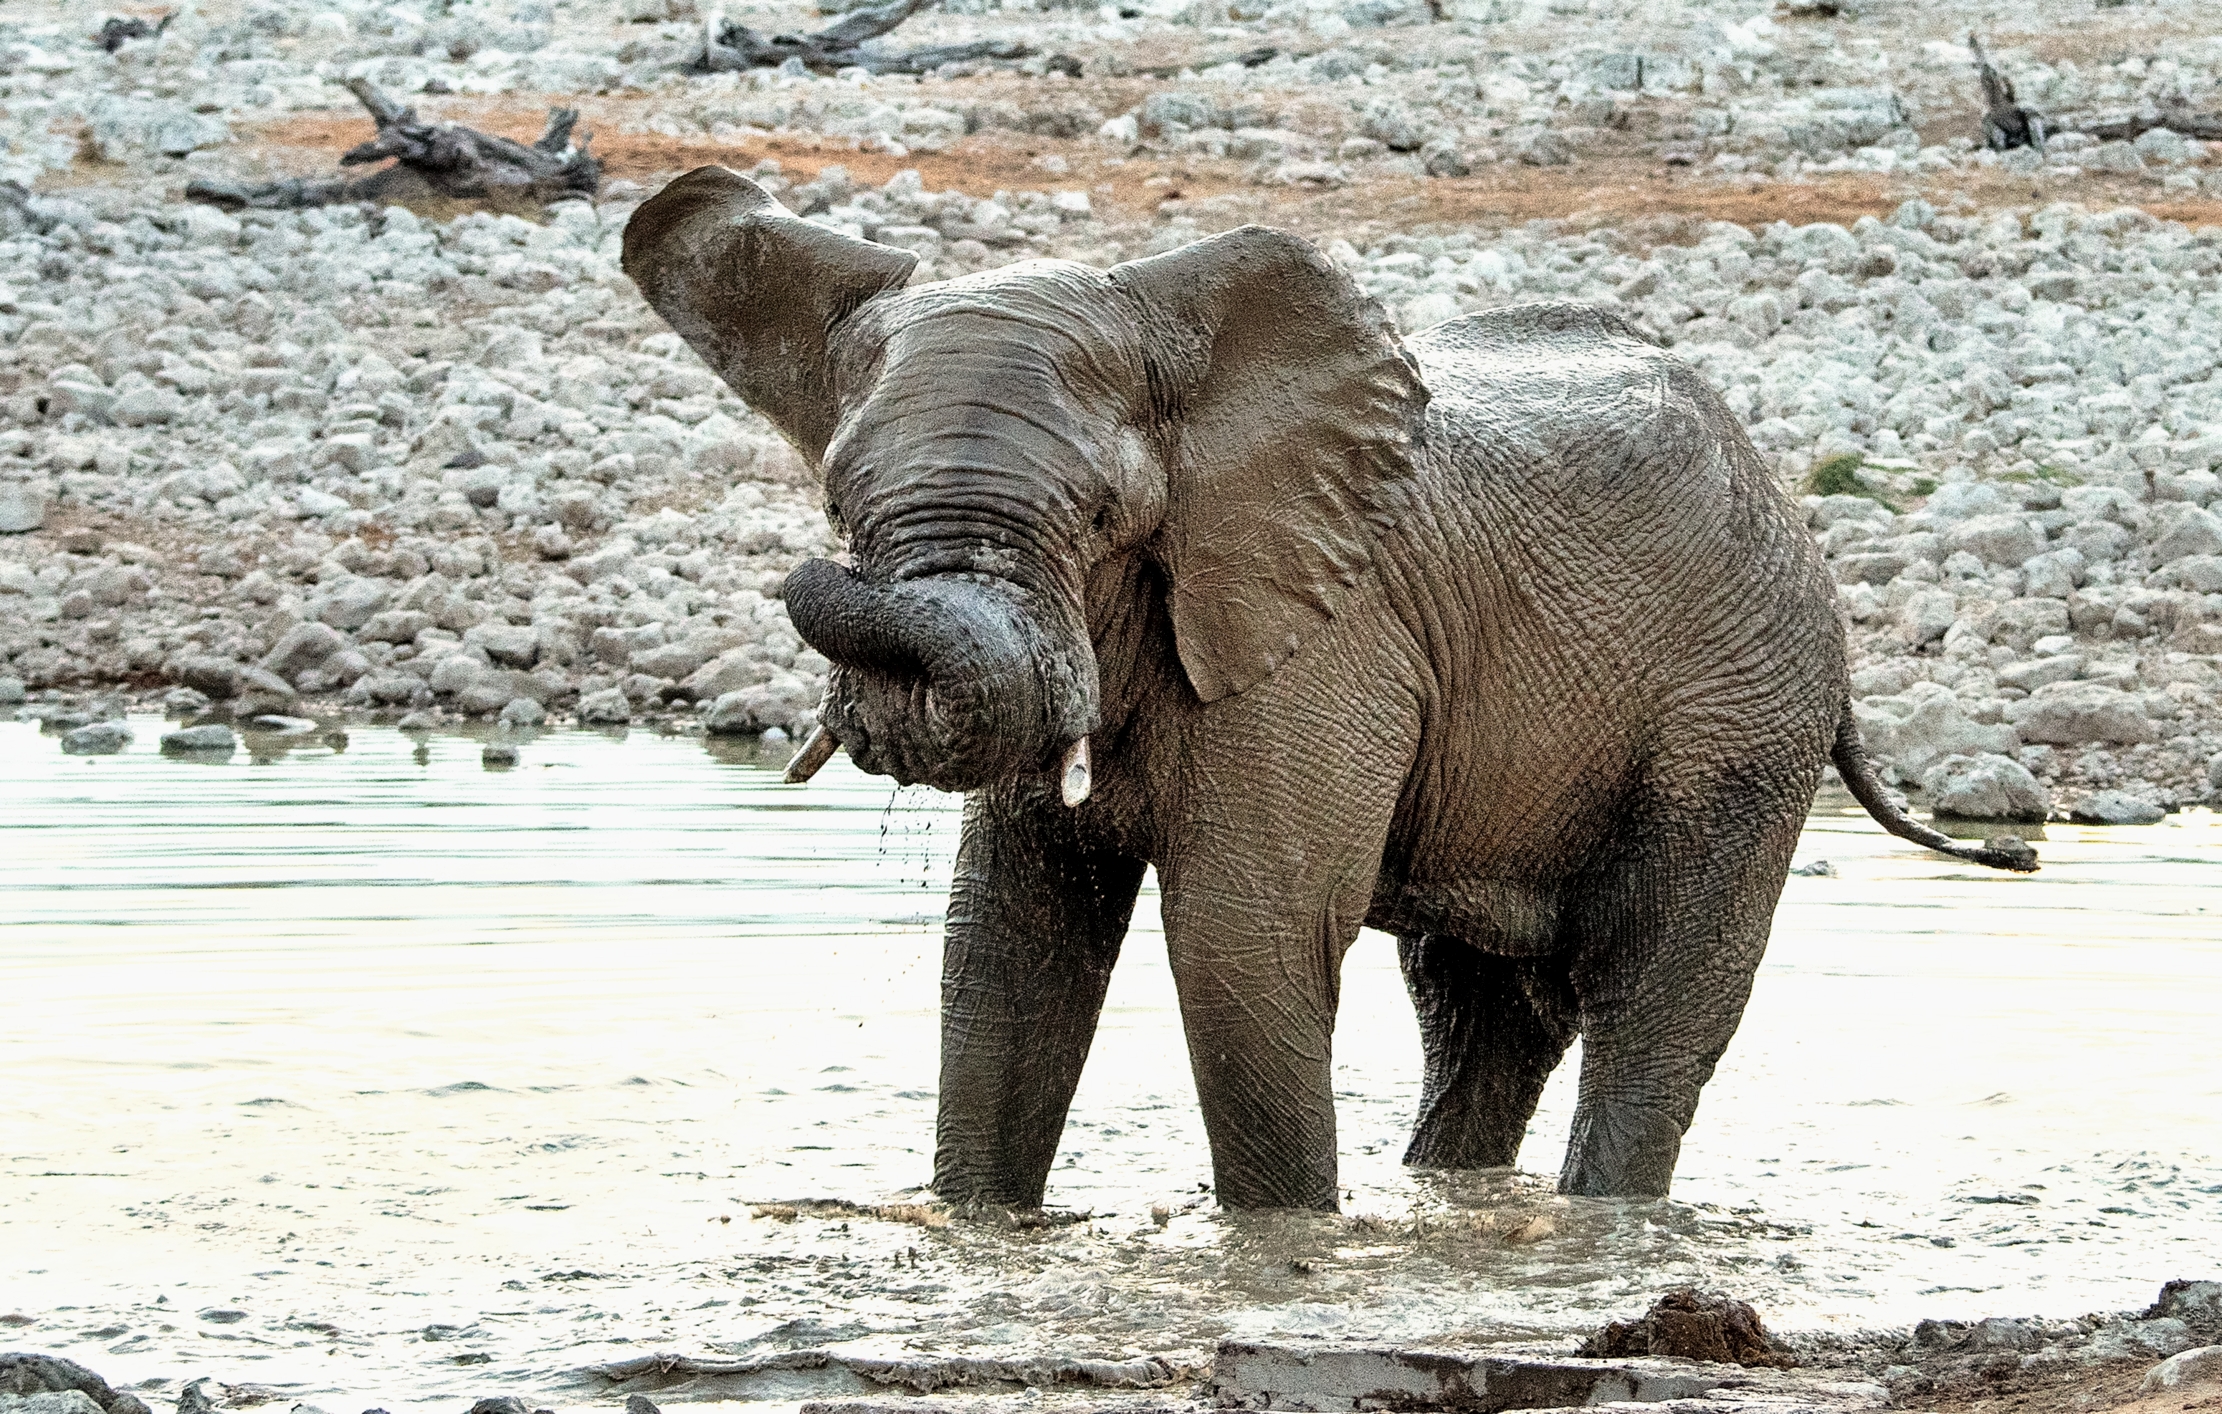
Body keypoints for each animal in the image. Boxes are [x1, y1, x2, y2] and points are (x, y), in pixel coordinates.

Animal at [622, 166, 2038, 1212]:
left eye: (1104, 516)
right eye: (835, 503)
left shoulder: (1321, 641)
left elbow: (1241, 943)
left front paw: (1281, 1249)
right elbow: (1005, 956)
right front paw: (973, 1225)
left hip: (1741, 713)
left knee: (1651, 1013)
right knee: (1479, 1020)